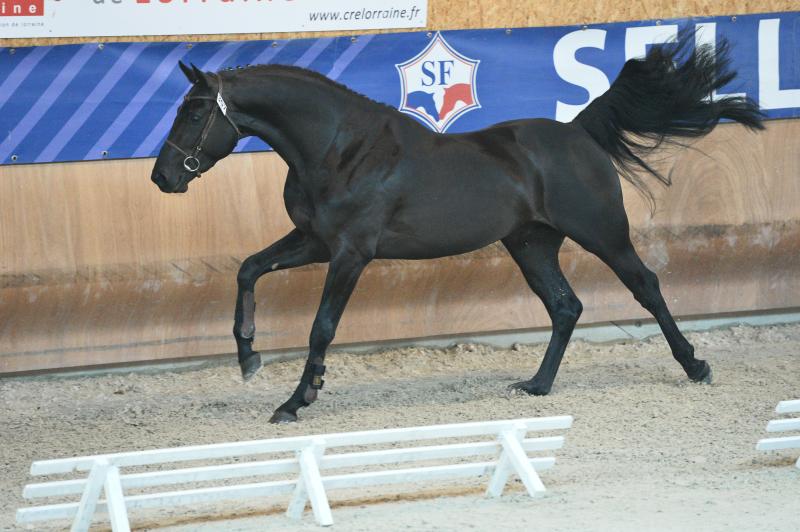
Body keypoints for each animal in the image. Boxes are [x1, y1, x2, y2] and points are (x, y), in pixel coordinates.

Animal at [148, 34, 764, 424]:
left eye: (195, 109)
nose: (162, 177)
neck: (340, 149)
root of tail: (579, 131)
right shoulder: (314, 243)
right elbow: (248, 269)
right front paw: (248, 359)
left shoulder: (350, 253)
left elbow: (322, 327)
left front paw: (297, 401)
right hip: (531, 245)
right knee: (566, 307)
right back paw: (536, 386)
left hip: (603, 234)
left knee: (646, 287)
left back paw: (696, 366)